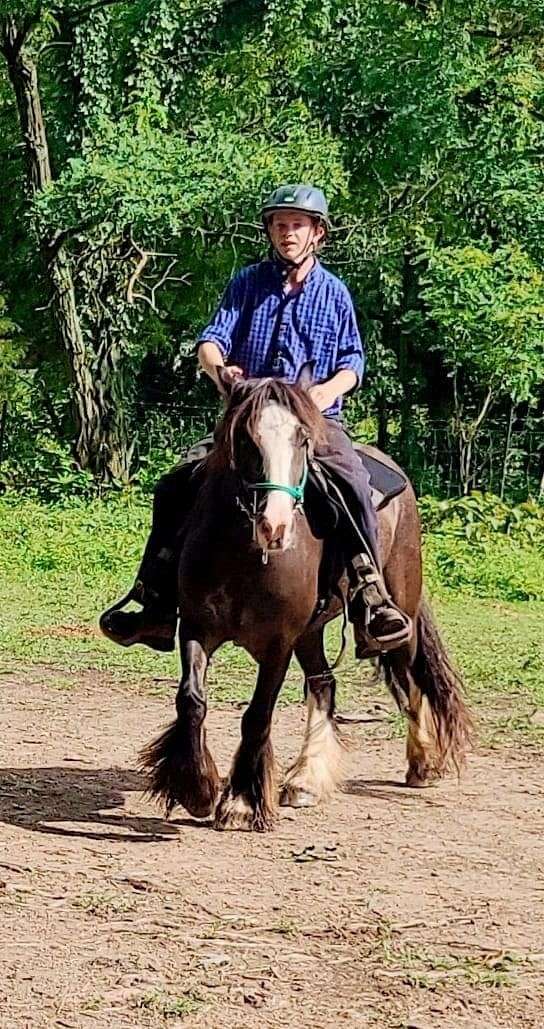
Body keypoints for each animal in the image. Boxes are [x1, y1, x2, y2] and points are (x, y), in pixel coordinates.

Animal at [140, 370, 470, 827]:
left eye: (302, 439)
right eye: (245, 438)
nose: (275, 526)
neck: (245, 556)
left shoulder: (278, 643)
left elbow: (257, 714)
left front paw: (241, 802)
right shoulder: (196, 627)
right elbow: (191, 700)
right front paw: (197, 789)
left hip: (398, 609)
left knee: (409, 676)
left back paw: (422, 763)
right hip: (310, 632)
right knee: (324, 683)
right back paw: (305, 780)